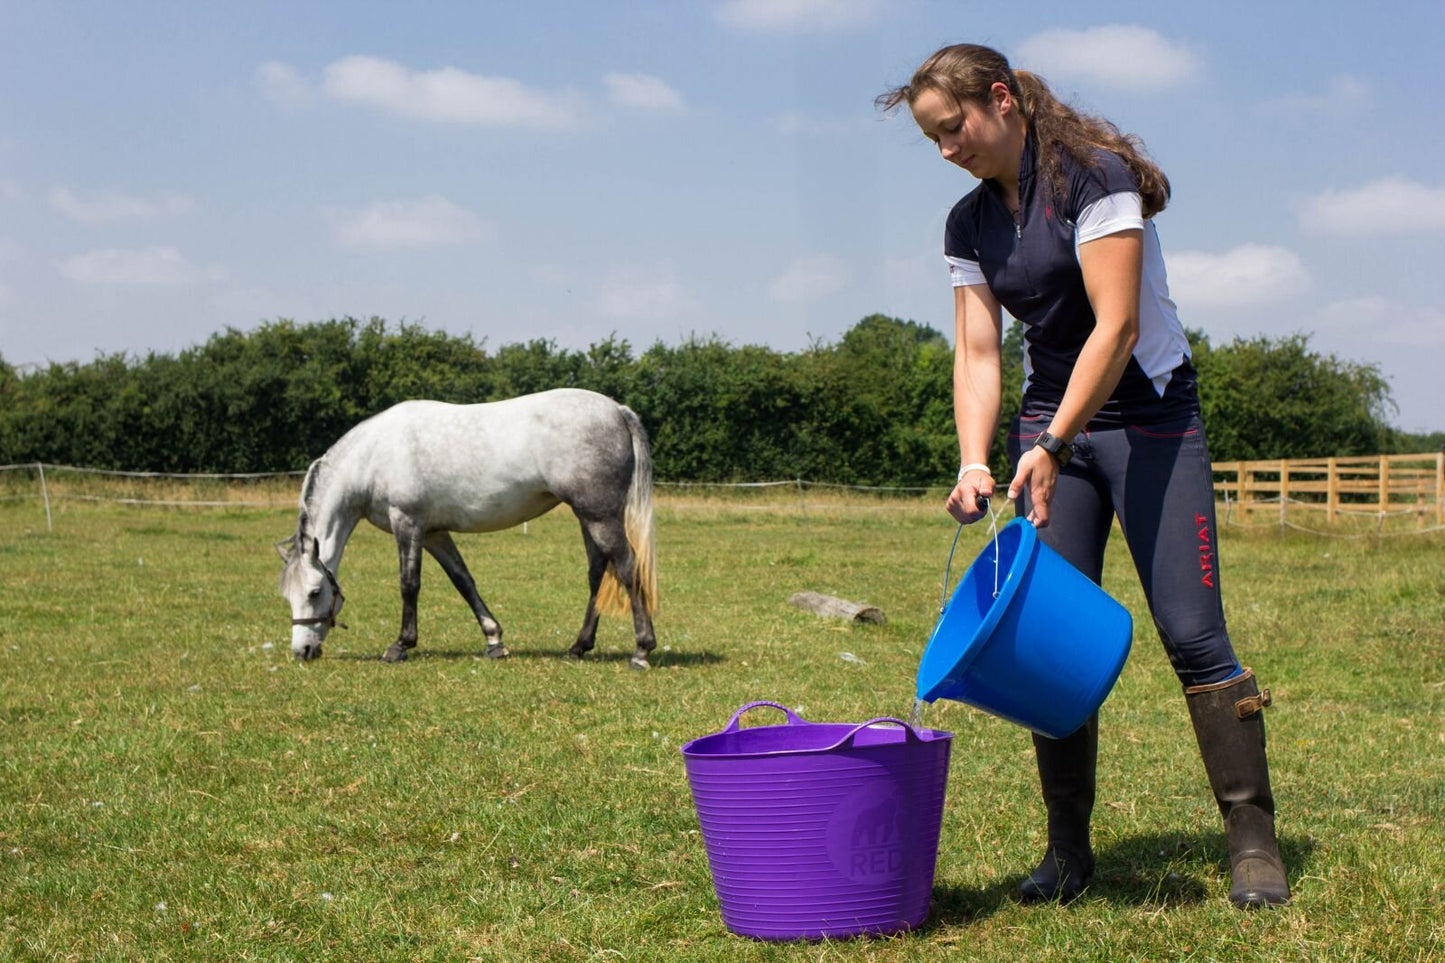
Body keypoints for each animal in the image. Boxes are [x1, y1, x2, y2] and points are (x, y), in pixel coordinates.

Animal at [275, 387, 661, 665]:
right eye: (287, 595)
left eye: (314, 592)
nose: (302, 651)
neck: (372, 457)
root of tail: (617, 411)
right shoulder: (434, 533)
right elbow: (463, 580)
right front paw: (494, 640)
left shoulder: (408, 523)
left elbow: (409, 584)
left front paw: (400, 645)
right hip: (588, 517)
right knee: (598, 574)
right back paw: (579, 646)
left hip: (600, 516)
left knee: (628, 568)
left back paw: (641, 650)